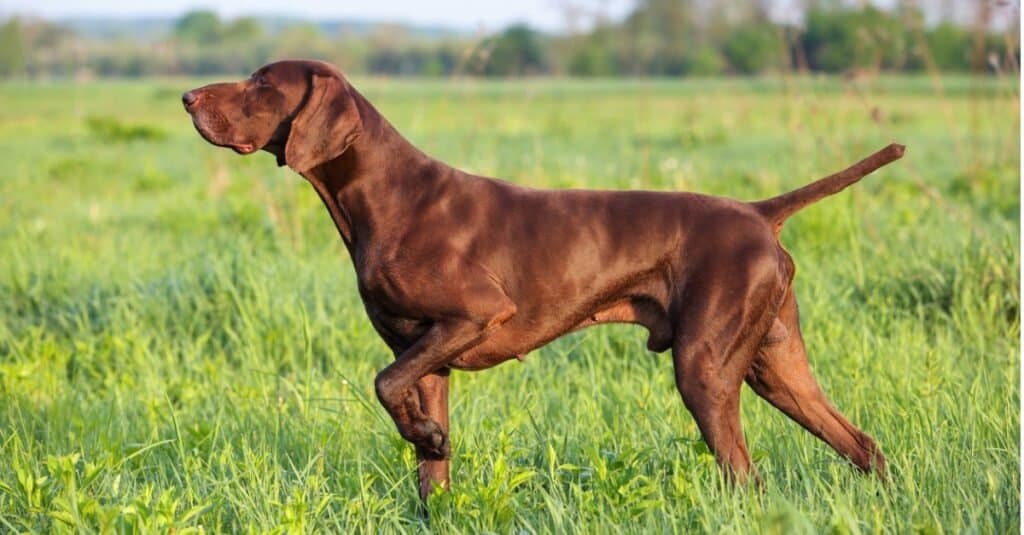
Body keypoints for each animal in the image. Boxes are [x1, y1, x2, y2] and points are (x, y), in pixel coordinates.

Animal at [184, 59, 905, 500]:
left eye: (261, 84)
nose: (187, 96)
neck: (387, 197)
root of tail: (759, 213)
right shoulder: (429, 358)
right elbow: (427, 461)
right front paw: (430, 448)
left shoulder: (475, 314)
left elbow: (383, 385)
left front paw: (424, 433)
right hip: (775, 365)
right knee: (864, 445)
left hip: (706, 369)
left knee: (746, 476)